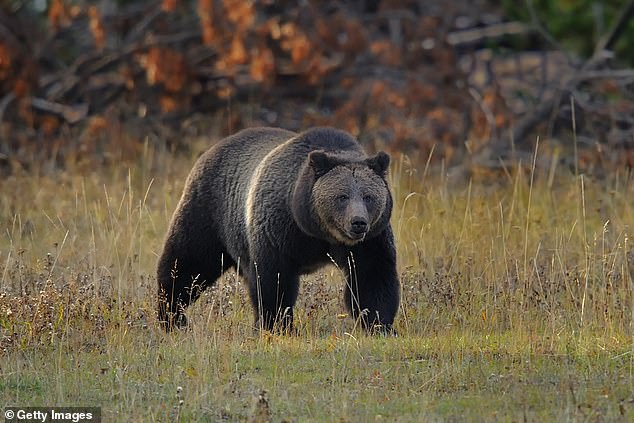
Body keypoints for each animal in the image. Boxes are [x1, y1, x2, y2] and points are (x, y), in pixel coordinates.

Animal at [156, 127, 398, 332]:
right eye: (342, 196)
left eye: (368, 196)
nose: (358, 222)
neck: (318, 231)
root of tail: (211, 149)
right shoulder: (279, 229)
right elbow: (274, 280)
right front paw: (276, 325)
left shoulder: (370, 241)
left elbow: (372, 277)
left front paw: (379, 324)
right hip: (208, 214)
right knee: (187, 264)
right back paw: (172, 317)